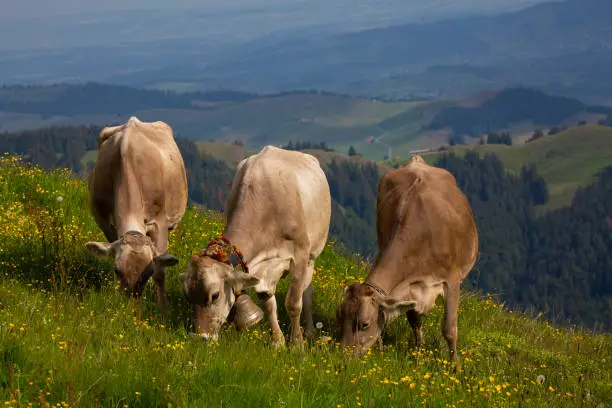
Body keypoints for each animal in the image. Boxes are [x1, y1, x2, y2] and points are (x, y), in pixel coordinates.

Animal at [85, 116, 188, 308]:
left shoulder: (159, 223)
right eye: (117, 271)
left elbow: (160, 271)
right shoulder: (106, 223)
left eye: (147, 273)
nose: (130, 306)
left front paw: (163, 308)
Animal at [179, 145, 332, 346]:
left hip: (312, 255)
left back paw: (309, 331)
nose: (201, 337)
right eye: (187, 295)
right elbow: (268, 304)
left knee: (306, 294)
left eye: (215, 295)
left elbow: (293, 303)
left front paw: (296, 344)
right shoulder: (261, 271)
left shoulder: (300, 255)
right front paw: (277, 342)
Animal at [340, 155, 478, 362]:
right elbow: (414, 320)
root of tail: (416, 160)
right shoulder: (408, 287)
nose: (343, 356)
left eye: (364, 324)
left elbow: (449, 329)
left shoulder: (452, 279)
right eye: (340, 317)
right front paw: (418, 354)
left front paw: (455, 365)